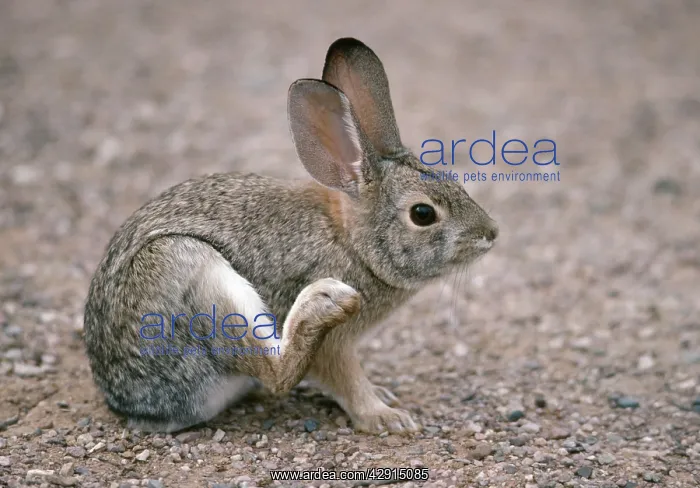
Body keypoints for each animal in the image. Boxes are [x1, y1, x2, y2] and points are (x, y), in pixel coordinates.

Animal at [83, 37, 499, 435]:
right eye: (422, 214)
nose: (491, 234)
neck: (352, 242)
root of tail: (131, 404)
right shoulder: (336, 344)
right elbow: (346, 380)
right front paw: (385, 417)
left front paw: (382, 396)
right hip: (186, 271)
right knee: (275, 374)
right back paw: (320, 304)